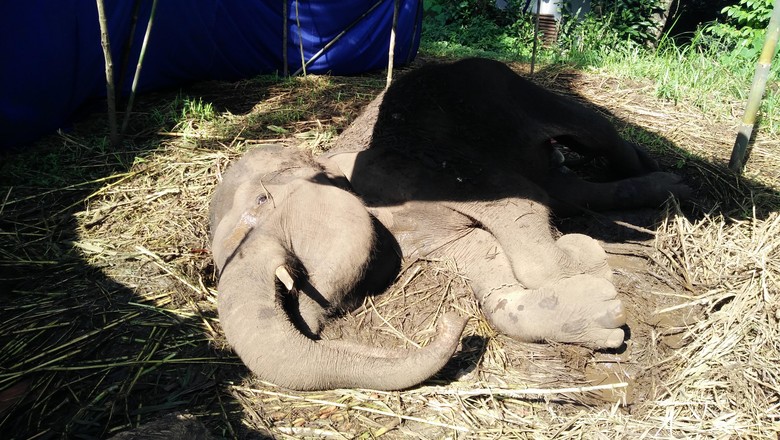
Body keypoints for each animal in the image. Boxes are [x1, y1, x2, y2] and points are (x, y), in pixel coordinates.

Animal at [207, 56, 688, 390]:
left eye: (263, 200)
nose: (454, 324)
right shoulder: (423, 237)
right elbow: (488, 270)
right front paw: (601, 311)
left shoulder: (430, 172)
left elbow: (520, 210)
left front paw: (588, 260)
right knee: (569, 188)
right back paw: (663, 185)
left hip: (519, 89)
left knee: (593, 132)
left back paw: (665, 177)